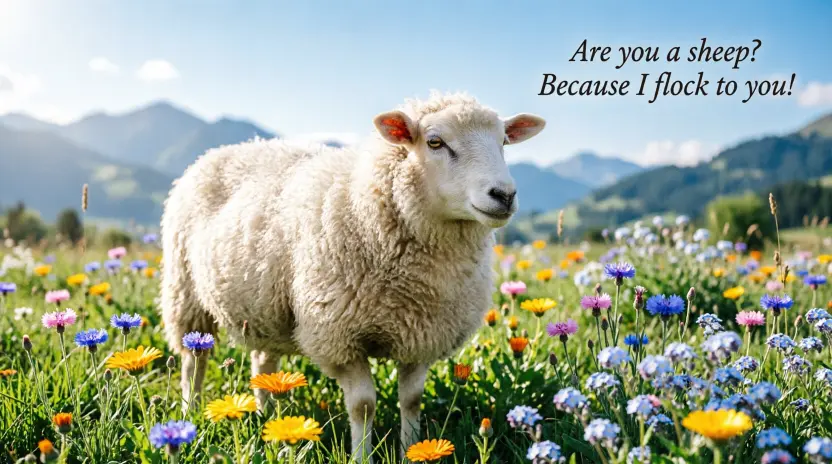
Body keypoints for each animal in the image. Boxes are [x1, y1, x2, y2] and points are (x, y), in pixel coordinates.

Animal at [160, 91, 545, 461]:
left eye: (503, 142)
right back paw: (189, 416)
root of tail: (226, 149)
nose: (504, 194)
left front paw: (413, 451)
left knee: (263, 361)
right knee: (193, 362)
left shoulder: (423, 334)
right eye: (435, 141)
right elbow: (363, 406)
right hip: (186, 294)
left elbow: (412, 400)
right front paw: (362, 455)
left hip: (264, 307)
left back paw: (265, 414)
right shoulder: (339, 337)